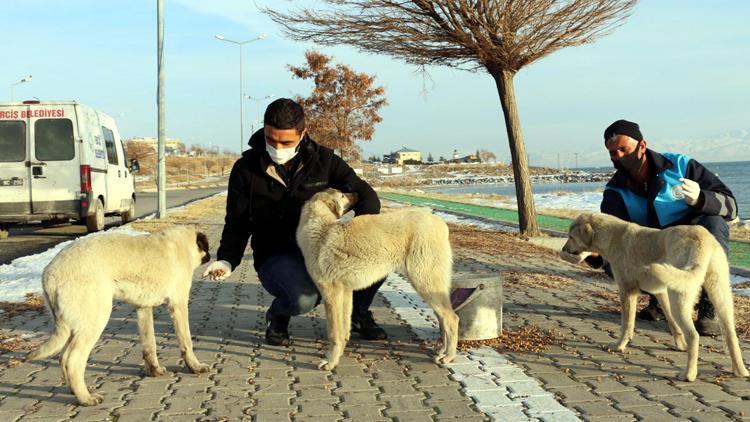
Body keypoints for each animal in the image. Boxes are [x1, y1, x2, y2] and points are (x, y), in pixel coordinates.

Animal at [27, 227, 212, 406]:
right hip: (95, 320)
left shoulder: (143, 309)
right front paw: (195, 366)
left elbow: (149, 345)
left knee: (63, 357)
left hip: (73, 326)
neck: (183, 243)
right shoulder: (179, 305)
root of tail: (50, 274)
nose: (211, 256)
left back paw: (76, 391)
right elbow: (186, 342)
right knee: (72, 361)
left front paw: (154, 370)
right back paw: (86, 398)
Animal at [298, 190, 462, 370]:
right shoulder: (345, 292)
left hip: (425, 281)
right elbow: (344, 329)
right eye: (342, 195)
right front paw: (338, 354)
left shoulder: (331, 294)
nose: (355, 192)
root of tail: (440, 223)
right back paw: (442, 351)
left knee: (451, 318)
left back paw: (448, 356)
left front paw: (330, 362)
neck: (321, 227)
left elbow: (334, 333)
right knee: (443, 318)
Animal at [560, 213, 748, 380]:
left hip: (679, 298)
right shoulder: (661, 293)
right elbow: (672, 324)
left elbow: (626, 324)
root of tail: (702, 240)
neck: (614, 237)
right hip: (720, 297)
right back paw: (740, 370)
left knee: (694, 336)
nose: (563, 250)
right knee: (731, 335)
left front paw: (619, 345)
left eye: (571, 236)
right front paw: (680, 345)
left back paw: (688, 374)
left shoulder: (627, 291)